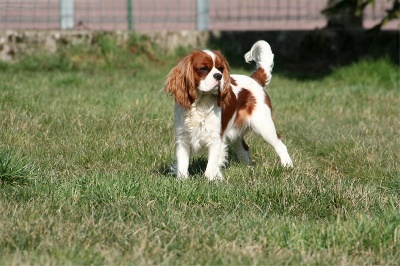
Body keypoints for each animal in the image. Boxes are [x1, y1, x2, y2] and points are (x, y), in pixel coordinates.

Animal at [164, 40, 292, 181]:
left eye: (221, 69)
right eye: (203, 69)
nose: (218, 76)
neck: (200, 104)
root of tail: (255, 80)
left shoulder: (216, 140)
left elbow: (211, 167)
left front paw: (210, 180)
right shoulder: (183, 139)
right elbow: (182, 165)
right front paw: (182, 180)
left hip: (264, 127)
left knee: (280, 144)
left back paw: (287, 166)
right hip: (236, 134)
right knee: (244, 148)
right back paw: (247, 168)